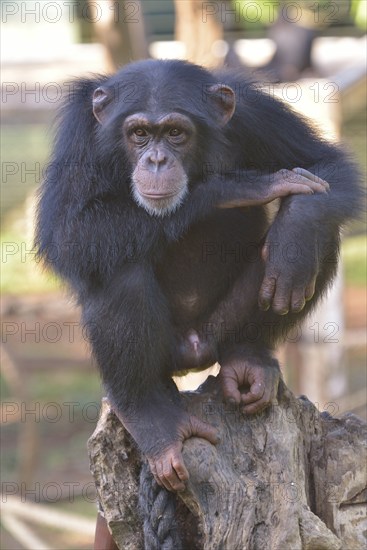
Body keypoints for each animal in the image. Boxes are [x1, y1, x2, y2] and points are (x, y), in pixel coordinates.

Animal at [36, 59, 364, 492]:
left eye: (176, 133)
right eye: (139, 134)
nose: (157, 161)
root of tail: (194, 351)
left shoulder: (257, 111)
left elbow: (326, 166)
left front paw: (296, 231)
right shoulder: (78, 133)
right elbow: (68, 232)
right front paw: (236, 186)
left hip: (218, 330)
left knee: (318, 237)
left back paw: (250, 352)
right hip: (168, 351)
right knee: (117, 270)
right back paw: (149, 413)